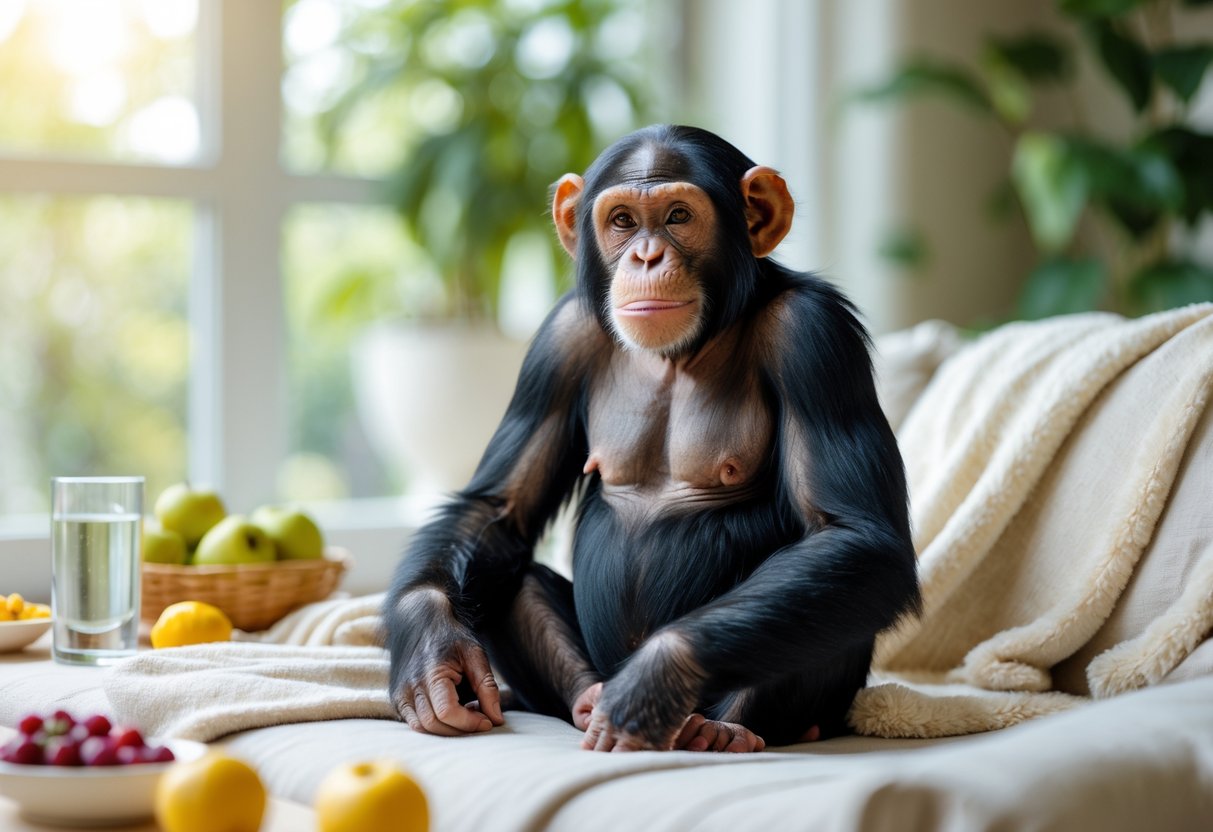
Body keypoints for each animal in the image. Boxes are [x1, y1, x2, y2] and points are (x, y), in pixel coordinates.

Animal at [383, 124, 919, 752]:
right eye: (622, 221)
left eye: (679, 216)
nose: (645, 255)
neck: (687, 348)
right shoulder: (557, 343)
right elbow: (500, 507)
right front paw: (431, 648)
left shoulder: (816, 337)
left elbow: (855, 534)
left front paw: (655, 680)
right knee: (509, 574)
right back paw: (587, 699)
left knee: (838, 594)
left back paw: (721, 729)